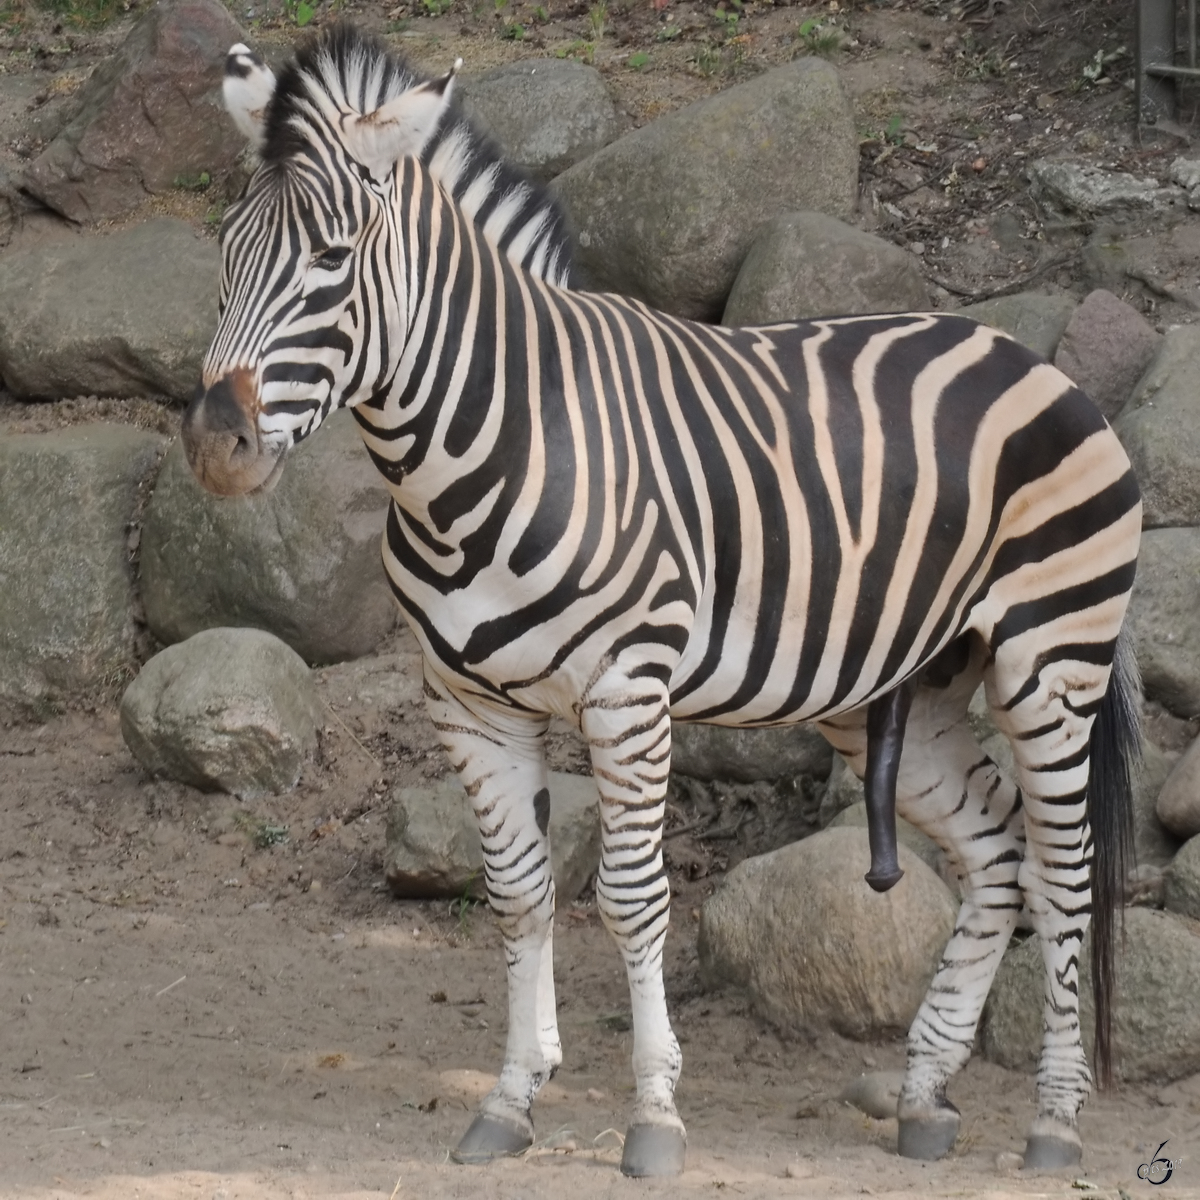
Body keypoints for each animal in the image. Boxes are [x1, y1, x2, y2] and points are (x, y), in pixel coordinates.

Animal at [182, 25, 1137, 1180]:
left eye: (330, 259)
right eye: (225, 251)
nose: (215, 447)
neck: (485, 450)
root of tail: (1021, 353)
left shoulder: (627, 690)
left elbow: (633, 899)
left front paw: (653, 1118)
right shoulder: (468, 704)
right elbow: (518, 892)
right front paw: (510, 1100)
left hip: (1053, 663)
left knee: (1067, 873)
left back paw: (1055, 1122)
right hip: (907, 691)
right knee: (999, 857)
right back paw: (922, 1096)